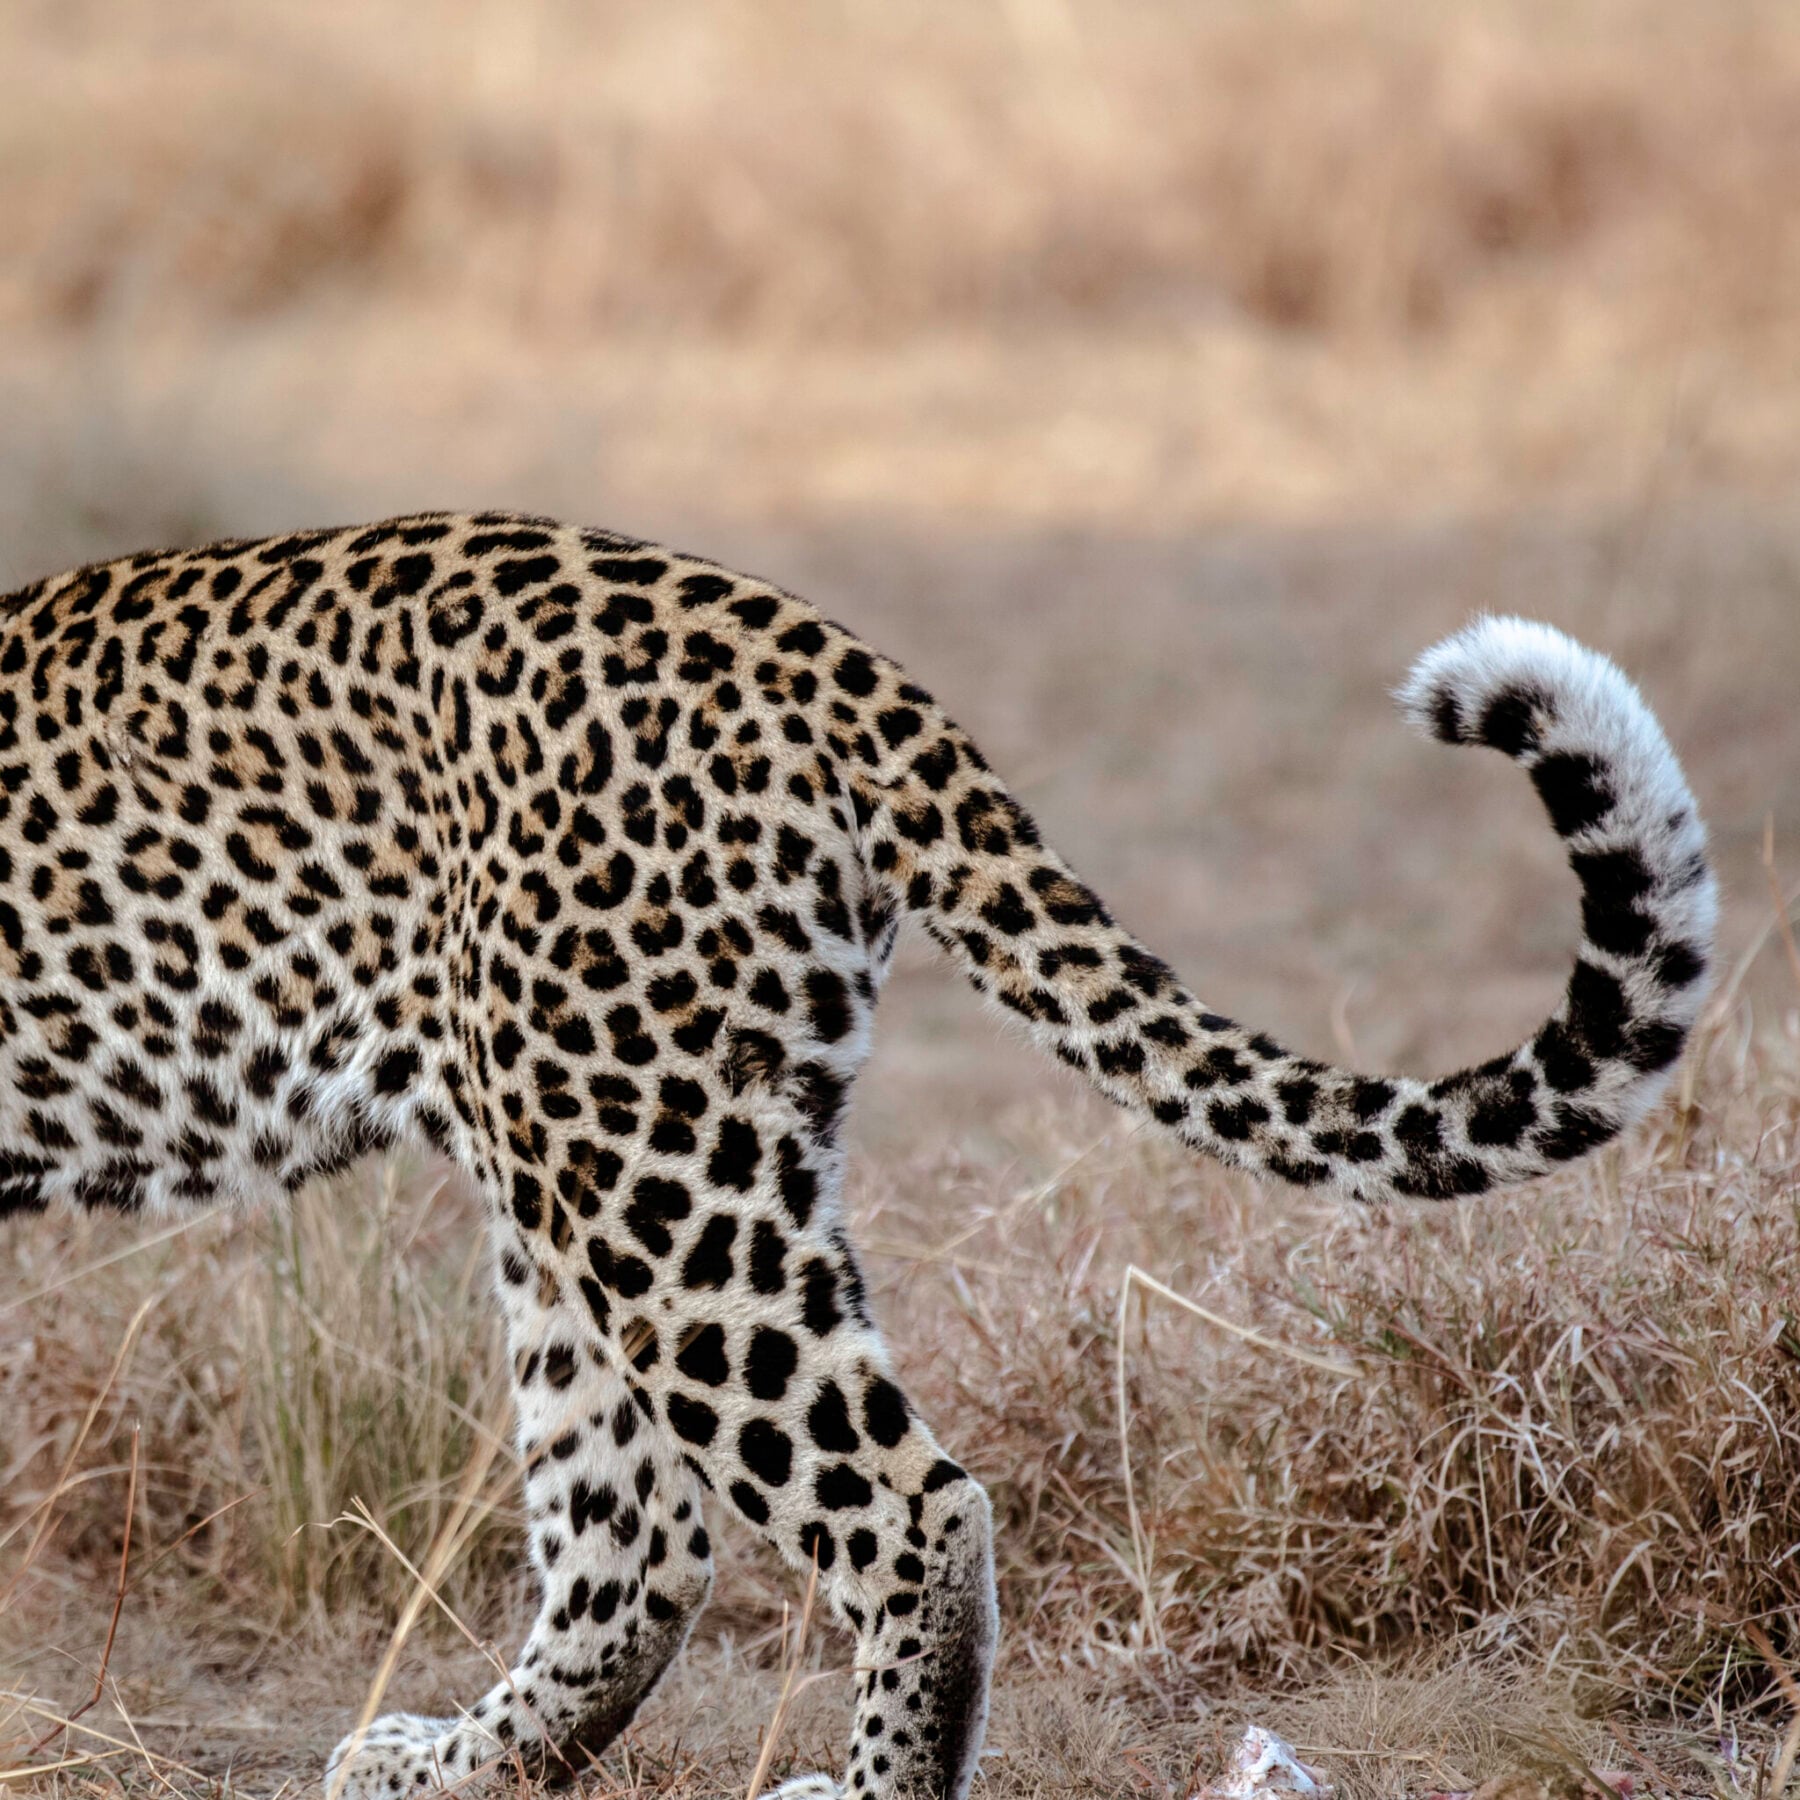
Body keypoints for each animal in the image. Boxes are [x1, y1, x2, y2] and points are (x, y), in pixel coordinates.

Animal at [0, 512, 1717, 1800]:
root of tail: (801, 639)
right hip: (611, 1151)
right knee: (642, 1542)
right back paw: (442, 1766)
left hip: (643, 1163)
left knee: (901, 1508)